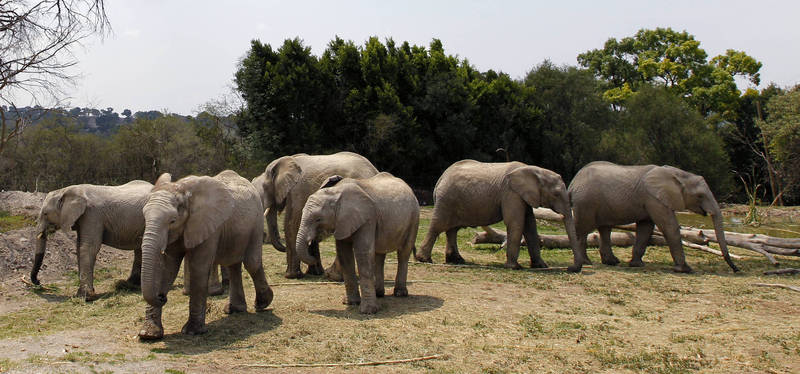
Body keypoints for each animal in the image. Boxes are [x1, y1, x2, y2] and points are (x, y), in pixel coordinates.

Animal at [138, 171, 276, 340]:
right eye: (144, 217)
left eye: (172, 221)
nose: (162, 297)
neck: (182, 191)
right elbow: (168, 268)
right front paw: (148, 335)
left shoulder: (208, 225)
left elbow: (198, 267)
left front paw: (192, 331)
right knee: (233, 263)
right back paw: (235, 309)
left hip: (256, 221)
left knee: (252, 262)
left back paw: (262, 304)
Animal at [294, 174, 418, 314]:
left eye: (318, 219)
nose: (314, 259)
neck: (336, 192)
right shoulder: (342, 222)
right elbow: (344, 255)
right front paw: (350, 303)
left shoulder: (367, 218)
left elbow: (362, 253)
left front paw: (368, 311)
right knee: (379, 255)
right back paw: (378, 293)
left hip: (414, 218)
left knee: (403, 253)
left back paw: (400, 294)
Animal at [416, 160, 584, 272]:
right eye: (555, 194)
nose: (571, 268)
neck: (535, 170)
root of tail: (440, 179)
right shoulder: (511, 193)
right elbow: (516, 222)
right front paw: (514, 267)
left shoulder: (522, 196)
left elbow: (530, 226)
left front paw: (541, 266)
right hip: (447, 199)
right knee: (438, 226)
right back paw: (424, 260)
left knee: (452, 230)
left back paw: (457, 261)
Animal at [568, 161, 736, 272]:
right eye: (700, 196)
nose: (736, 269)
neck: (678, 174)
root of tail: (573, 182)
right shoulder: (654, 199)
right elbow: (669, 227)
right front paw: (685, 270)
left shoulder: (651, 201)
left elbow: (645, 228)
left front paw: (637, 265)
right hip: (586, 202)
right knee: (583, 229)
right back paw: (587, 262)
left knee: (604, 229)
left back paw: (612, 262)